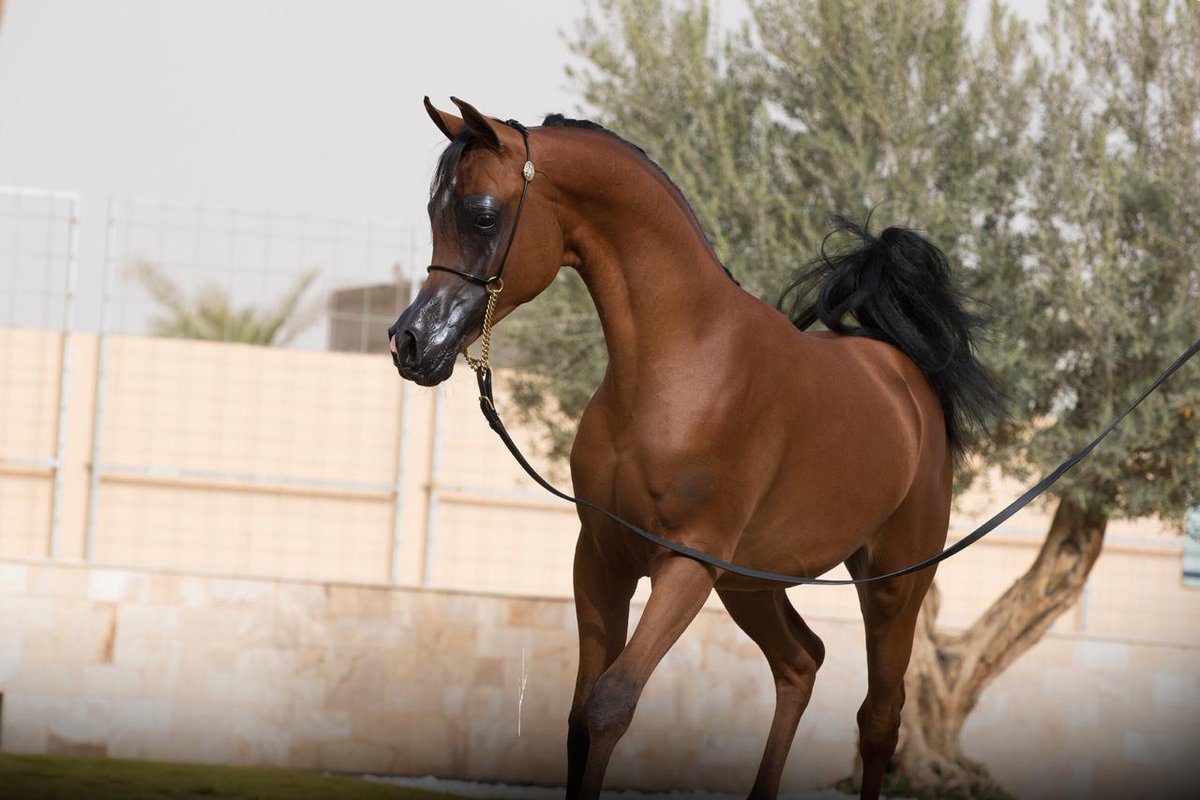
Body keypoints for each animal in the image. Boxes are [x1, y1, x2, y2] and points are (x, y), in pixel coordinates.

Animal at [388, 97, 1000, 800]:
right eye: (434, 211)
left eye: (484, 213)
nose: (411, 343)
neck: (681, 366)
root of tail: (904, 377)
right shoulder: (601, 558)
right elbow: (577, 719)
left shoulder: (685, 563)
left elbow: (611, 703)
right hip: (750, 582)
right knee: (801, 662)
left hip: (894, 585)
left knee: (879, 718)